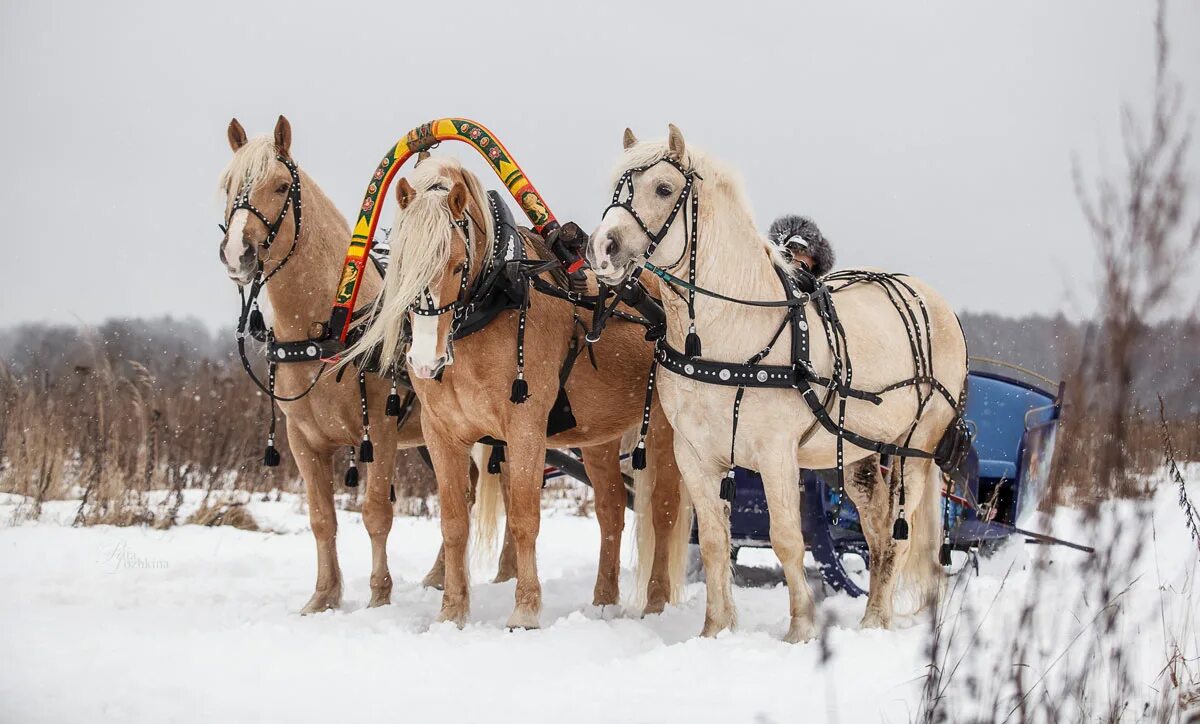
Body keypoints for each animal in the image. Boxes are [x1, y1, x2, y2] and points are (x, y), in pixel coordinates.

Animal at [218, 117, 439, 612]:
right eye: (227, 186)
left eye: (281, 186)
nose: (238, 253)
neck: (330, 324)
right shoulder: (302, 438)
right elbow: (322, 518)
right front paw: (322, 598)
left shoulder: (380, 429)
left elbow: (376, 512)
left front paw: (379, 597)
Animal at [343, 157, 691, 629]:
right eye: (399, 263)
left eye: (457, 265)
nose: (423, 362)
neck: (494, 296)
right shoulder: (441, 434)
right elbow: (454, 522)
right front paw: (451, 612)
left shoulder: (526, 429)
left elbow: (525, 517)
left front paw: (525, 611)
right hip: (597, 435)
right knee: (612, 509)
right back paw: (603, 601)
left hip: (663, 429)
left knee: (663, 511)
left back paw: (654, 603)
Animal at [585, 126, 969, 643]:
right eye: (616, 188)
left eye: (664, 189)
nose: (601, 248)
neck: (729, 330)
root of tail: (937, 302)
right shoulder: (695, 455)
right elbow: (713, 542)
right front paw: (715, 629)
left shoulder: (775, 453)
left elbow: (787, 539)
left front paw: (801, 628)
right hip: (863, 454)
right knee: (877, 532)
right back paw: (875, 613)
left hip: (918, 450)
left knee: (899, 537)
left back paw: (875, 623)